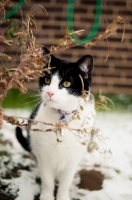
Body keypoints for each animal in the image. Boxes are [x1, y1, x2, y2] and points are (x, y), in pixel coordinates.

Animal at [16, 47, 95, 200]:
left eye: (66, 84)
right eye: (47, 80)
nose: (50, 93)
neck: (62, 116)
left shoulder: (73, 156)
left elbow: (66, 181)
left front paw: (63, 196)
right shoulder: (43, 154)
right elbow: (47, 180)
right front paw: (47, 196)